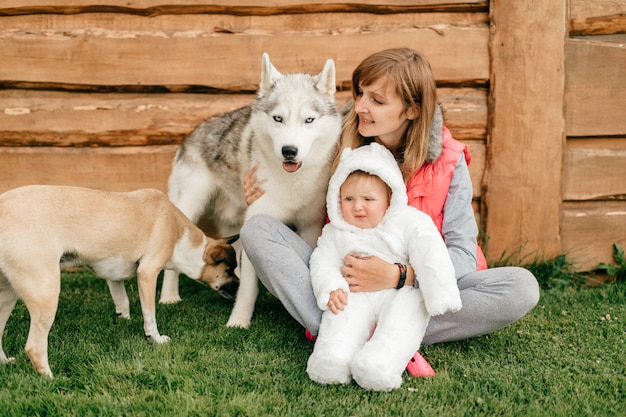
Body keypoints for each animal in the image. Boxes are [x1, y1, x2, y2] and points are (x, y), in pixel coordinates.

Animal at [0, 185, 239, 376]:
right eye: (229, 269)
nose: (239, 287)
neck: (180, 233)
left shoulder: (112, 273)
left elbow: (122, 300)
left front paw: (123, 320)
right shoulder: (147, 274)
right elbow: (150, 315)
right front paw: (155, 339)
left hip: (7, 297)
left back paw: (5, 362)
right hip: (46, 294)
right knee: (34, 347)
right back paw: (50, 379)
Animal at [157, 53, 342, 326]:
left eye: (309, 120)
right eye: (278, 118)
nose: (289, 151)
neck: (292, 182)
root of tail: (191, 134)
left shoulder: (309, 226)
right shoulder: (255, 223)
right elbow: (249, 288)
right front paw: (239, 322)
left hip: (234, 223)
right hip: (191, 207)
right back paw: (169, 297)